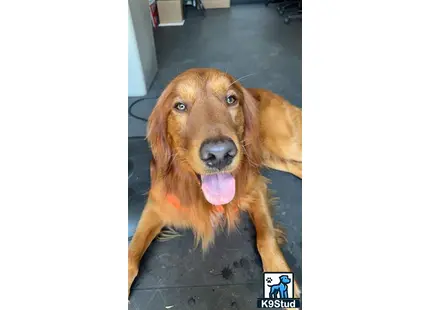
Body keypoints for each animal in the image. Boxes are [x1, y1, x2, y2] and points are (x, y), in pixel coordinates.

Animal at [127, 68, 302, 302]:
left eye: (231, 99)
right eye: (180, 106)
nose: (219, 154)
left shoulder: (256, 188)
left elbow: (266, 237)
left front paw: (279, 271)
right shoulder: (156, 206)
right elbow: (131, 253)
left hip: (285, 145)